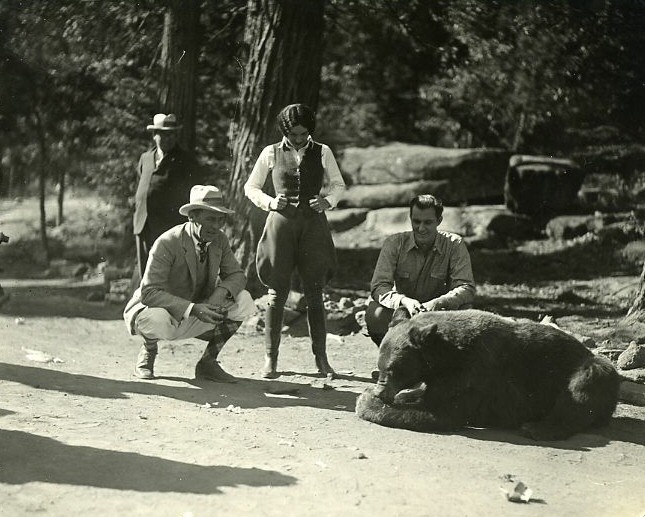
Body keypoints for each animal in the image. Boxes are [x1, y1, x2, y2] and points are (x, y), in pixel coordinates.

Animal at [354, 308, 620, 438]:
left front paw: (366, 401)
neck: (448, 355)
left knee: (581, 391)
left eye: (392, 369)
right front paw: (400, 396)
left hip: (588, 368)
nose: (380, 392)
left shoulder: (474, 372)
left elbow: (442, 412)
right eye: (381, 366)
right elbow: (426, 394)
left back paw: (537, 428)